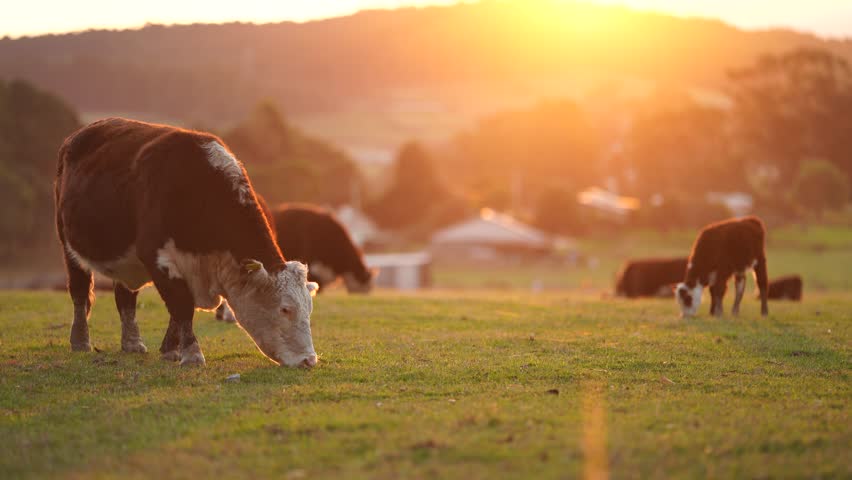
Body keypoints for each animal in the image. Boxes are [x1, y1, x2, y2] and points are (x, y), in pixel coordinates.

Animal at [55, 118, 319, 367]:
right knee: (79, 292)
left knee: (125, 297)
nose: (309, 360)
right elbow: (181, 305)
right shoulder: (157, 257)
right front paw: (192, 354)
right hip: (68, 245)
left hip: (125, 262)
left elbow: (179, 311)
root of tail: (78, 135)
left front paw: (171, 349)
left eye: (309, 309)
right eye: (285, 309)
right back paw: (80, 341)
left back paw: (132, 343)